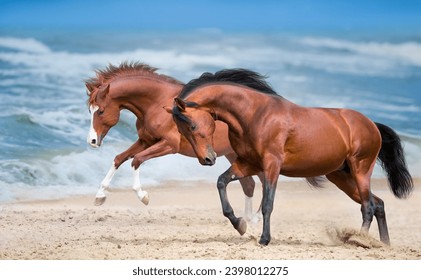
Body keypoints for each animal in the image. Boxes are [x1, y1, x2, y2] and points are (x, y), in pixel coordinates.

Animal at [83, 62, 264, 220]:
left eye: (101, 111)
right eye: (90, 110)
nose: (92, 140)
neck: (157, 103)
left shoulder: (168, 145)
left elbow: (136, 160)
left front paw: (143, 196)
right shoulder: (145, 141)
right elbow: (119, 159)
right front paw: (100, 196)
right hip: (233, 154)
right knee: (249, 184)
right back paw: (249, 220)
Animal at [171, 68, 414, 245]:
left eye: (192, 126)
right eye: (181, 130)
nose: (207, 159)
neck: (255, 114)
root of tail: (372, 124)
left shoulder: (271, 165)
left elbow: (267, 203)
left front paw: (264, 239)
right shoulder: (247, 164)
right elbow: (222, 182)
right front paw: (239, 224)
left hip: (360, 170)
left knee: (368, 206)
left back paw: (359, 239)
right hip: (341, 177)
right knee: (378, 203)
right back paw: (382, 243)